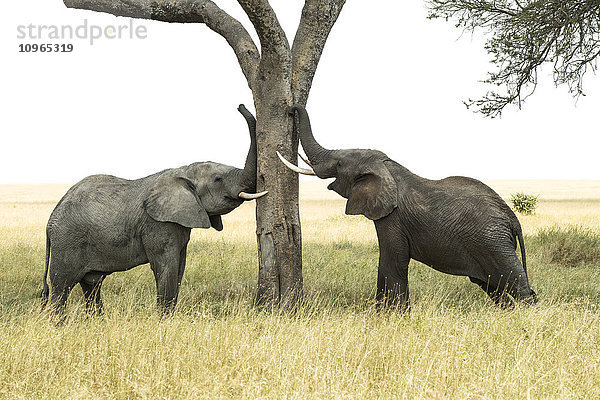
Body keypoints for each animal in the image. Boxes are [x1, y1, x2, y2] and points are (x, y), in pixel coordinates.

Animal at [41, 104, 266, 316]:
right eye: (218, 179)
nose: (240, 106)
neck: (182, 171)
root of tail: (50, 220)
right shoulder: (158, 225)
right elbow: (166, 267)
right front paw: (164, 320)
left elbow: (179, 268)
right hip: (66, 242)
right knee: (61, 287)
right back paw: (58, 324)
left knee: (91, 286)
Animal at [278, 104, 536, 310]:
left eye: (340, 164)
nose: (291, 108)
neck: (387, 166)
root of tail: (512, 218)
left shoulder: (392, 217)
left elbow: (392, 260)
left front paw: (392, 315)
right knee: (493, 286)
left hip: (493, 242)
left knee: (516, 283)